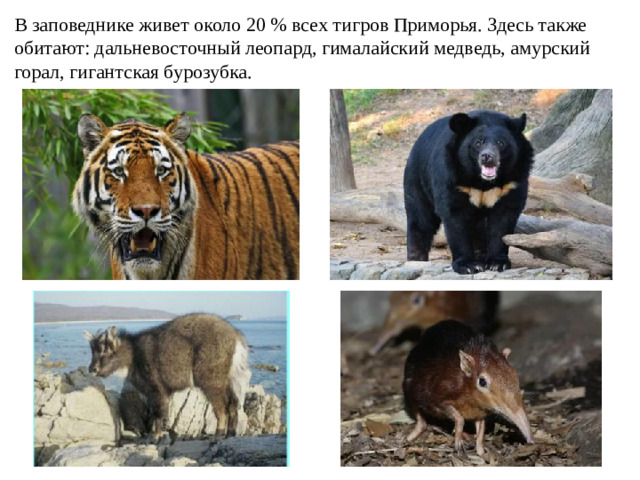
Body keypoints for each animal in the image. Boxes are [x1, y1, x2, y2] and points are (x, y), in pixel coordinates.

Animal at [403, 110, 534, 274]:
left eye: (500, 143)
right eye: (478, 143)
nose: (487, 157)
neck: (482, 181)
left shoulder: (512, 182)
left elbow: (503, 220)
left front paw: (497, 263)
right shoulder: (453, 177)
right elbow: (455, 217)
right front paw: (468, 265)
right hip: (417, 179)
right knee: (420, 218)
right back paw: (416, 259)